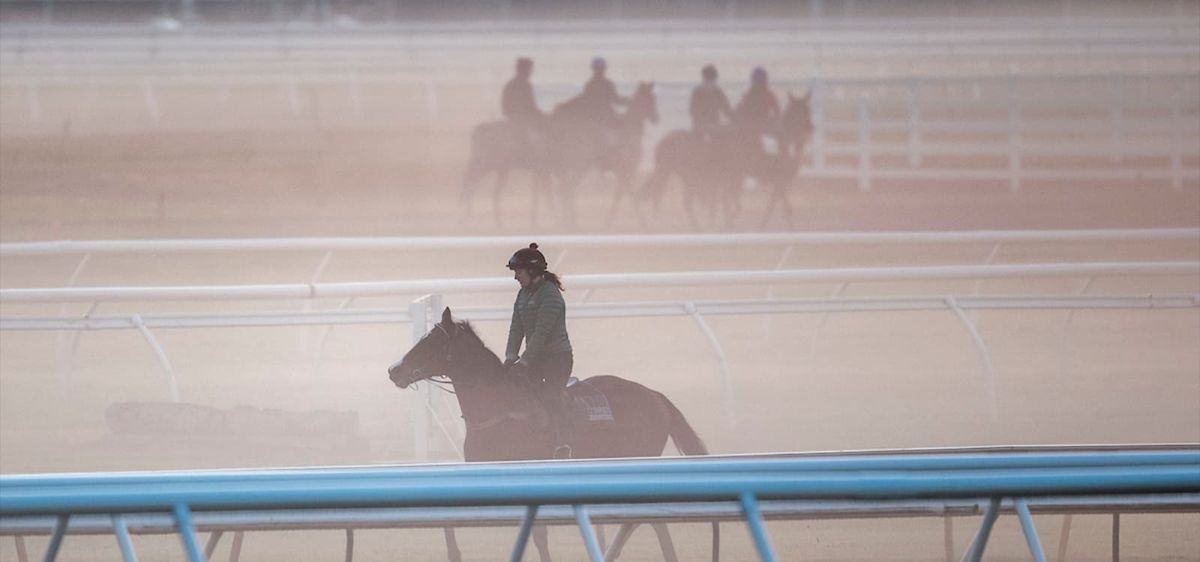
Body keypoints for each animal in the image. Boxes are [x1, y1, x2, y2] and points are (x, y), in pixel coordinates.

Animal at [388, 307, 707, 562]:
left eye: (432, 343)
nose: (394, 370)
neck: (500, 409)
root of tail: (655, 396)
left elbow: (539, 534)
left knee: (650, 521)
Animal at [639, 90, 813, 229]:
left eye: (807, 109)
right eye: (800, 111)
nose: (810, 127)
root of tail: (664, 140)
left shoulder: (736, 177)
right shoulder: (736, 177)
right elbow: (732, 204)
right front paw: (729, 223)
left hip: (686, 176)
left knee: (680, 200)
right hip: (675, 173)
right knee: (664, 197)